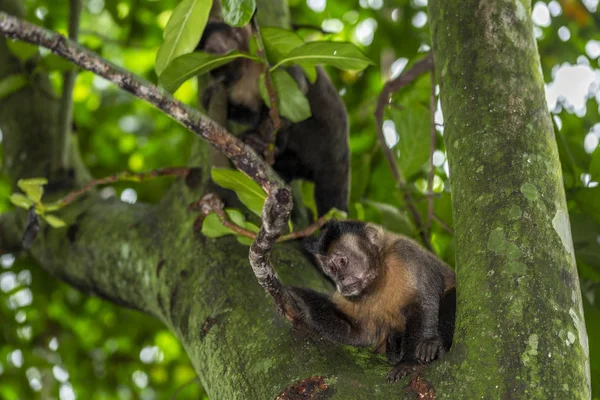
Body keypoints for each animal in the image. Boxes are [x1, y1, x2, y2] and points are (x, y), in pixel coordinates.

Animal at [197, 21, 352, 216]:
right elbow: (251, 113)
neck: (248, 67)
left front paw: (266, 131)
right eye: (209, 68)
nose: (217, 76)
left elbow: (295, 89)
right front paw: (211, 96)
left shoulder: (267, 56)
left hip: (319, 142)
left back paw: (266, 144)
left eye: (215, 55)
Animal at [292, 220, 458, 382]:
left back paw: (435, 345)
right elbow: (358, 333)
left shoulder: (405, 254)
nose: (340, 279)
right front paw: (299, 298)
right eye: (331, 268)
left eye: (342, 261)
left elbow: (424, 302)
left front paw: (409, 363)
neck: (379, 278)